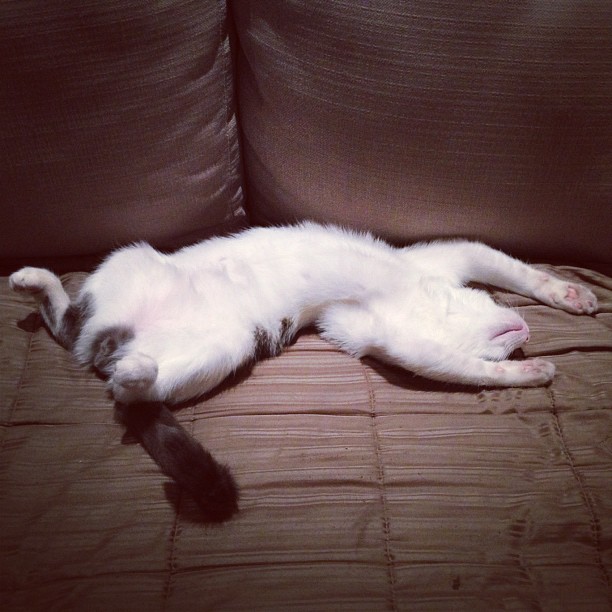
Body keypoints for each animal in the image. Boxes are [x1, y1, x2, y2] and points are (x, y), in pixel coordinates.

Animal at [8, 222, 596, 520]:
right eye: (504, 349)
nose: (523, 332)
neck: (421, 298)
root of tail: (111, 342)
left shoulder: (375, 327)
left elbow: (514, 277)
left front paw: (568, 295)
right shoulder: (433, 278)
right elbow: (504, 282)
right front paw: (536, 364)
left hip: (219, 342)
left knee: (90, 351)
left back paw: (111, 352)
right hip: (137, 266)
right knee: (84, 343)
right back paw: (38, 283)